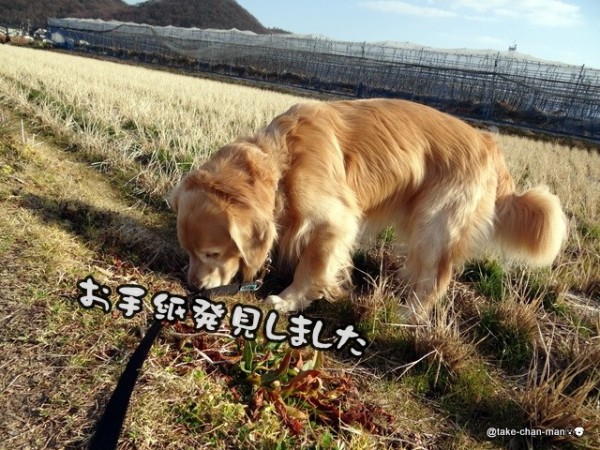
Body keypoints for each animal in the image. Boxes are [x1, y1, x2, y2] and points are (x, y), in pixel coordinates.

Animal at [170, 100, 568, 322]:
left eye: (212, 253)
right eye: (187, 251)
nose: (192, 286)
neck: (283, 165)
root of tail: (492, 147)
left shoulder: (334, 222)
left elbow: (312, 266)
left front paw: (289, 300)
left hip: (436, 223)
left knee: (436, 279)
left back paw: (409, 314)